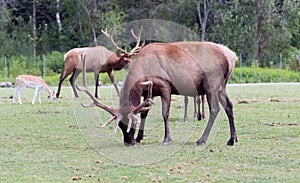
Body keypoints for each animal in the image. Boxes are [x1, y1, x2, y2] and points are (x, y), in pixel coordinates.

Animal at [78, 40, 239, 147]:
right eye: (122, 127)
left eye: (130, 124)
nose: (128, 142)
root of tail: (232, 57)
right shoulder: (149, 91)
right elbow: (144, 113)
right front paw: (139, 138)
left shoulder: (165, 86)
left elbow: (165, 113)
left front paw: (166, 139)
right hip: (222, 85)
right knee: (229, 105)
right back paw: (232, 139)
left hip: (211, 82)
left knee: (215, 109)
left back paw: (201, 139)